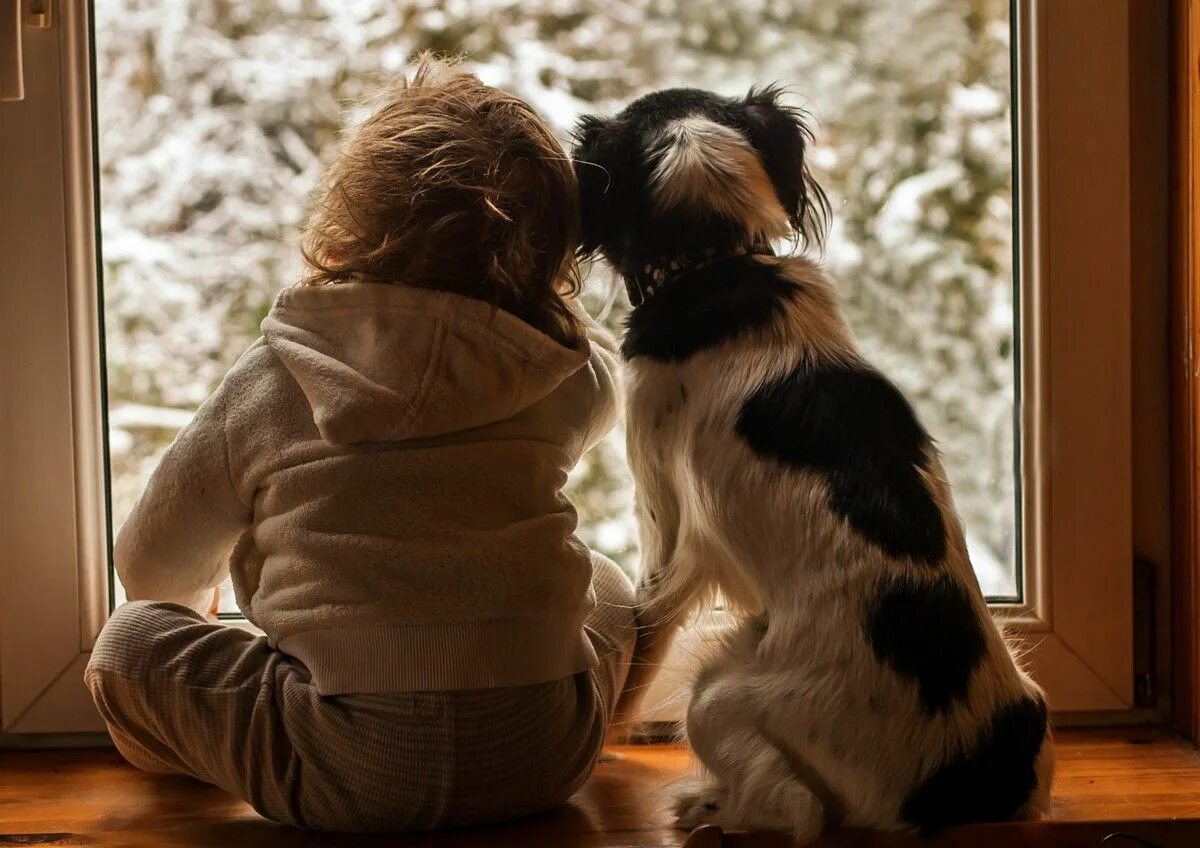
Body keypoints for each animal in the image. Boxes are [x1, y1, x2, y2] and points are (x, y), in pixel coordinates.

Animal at [571, 89, 1051, 844]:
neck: (719, 262)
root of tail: (958, 785)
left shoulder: (662, 517)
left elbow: (643, 646)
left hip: (721, 694)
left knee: (795, 810)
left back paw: (705, 808)